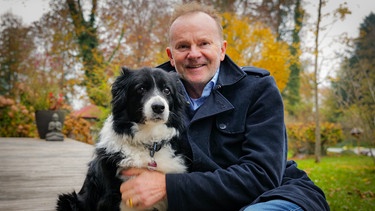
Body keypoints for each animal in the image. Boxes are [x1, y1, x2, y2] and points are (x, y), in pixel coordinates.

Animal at [57, 67, 188, 210]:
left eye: (167, 90)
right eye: (141, 88)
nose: (158, 107)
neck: (148, 141)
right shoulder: (109, 197)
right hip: (68, 200)